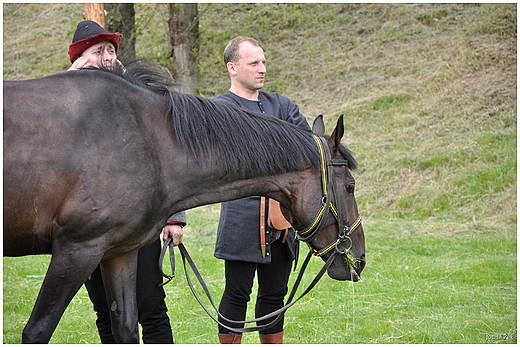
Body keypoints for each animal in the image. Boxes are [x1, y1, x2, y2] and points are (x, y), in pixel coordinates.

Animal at [3, 64, 366, 344]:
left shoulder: (117, 253)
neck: (149, 141)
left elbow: (126, 330)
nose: (360, 259)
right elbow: (36, 332)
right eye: (350, 187)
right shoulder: (77, 250)